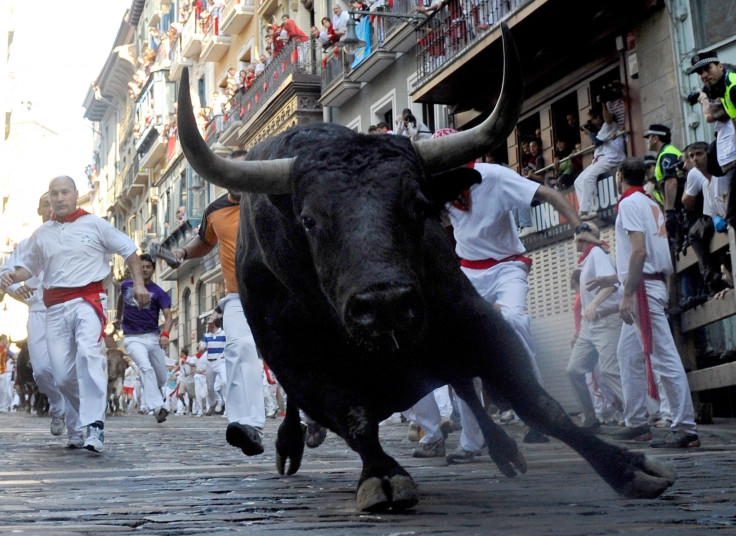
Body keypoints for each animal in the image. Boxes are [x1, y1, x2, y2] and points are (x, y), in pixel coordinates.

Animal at [177, 24, 672, 510]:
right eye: (309, 220)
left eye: (418, 205)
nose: (385, 304)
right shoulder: (297, 363)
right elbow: (353, 417)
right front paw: (383, 474)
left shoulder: (474, 320)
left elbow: (535, 401)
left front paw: (627, 467)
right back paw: (290, 444)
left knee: (466, 388)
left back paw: (502, 449)